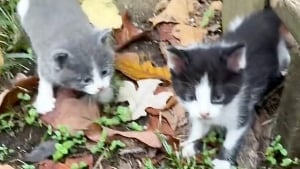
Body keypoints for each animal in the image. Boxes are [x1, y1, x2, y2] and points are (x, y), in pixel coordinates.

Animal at [166, 9, 290, 169]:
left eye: (218, 97)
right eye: (190, 96)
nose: (205, 113)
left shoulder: (241, 108)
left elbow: (234, 137)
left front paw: (223, 161)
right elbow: (199, 124)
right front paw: (191, 145)